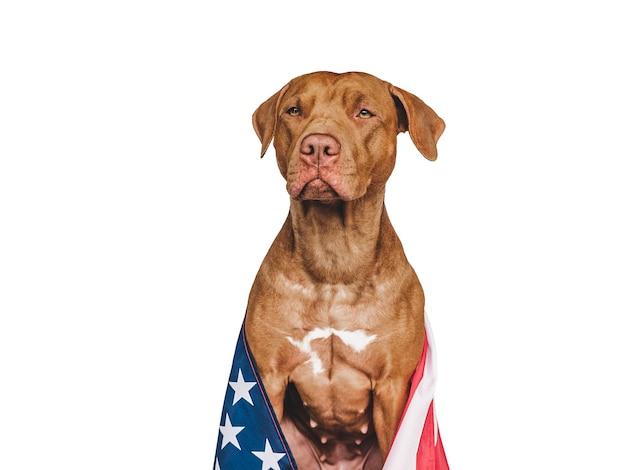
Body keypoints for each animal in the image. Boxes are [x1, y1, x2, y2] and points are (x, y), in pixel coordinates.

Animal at [244, 71, 444, 468]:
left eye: (364, 112)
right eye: (294, 110)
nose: (318, 146)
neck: (334, 261)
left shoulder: (392, 387)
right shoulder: (268, 377)